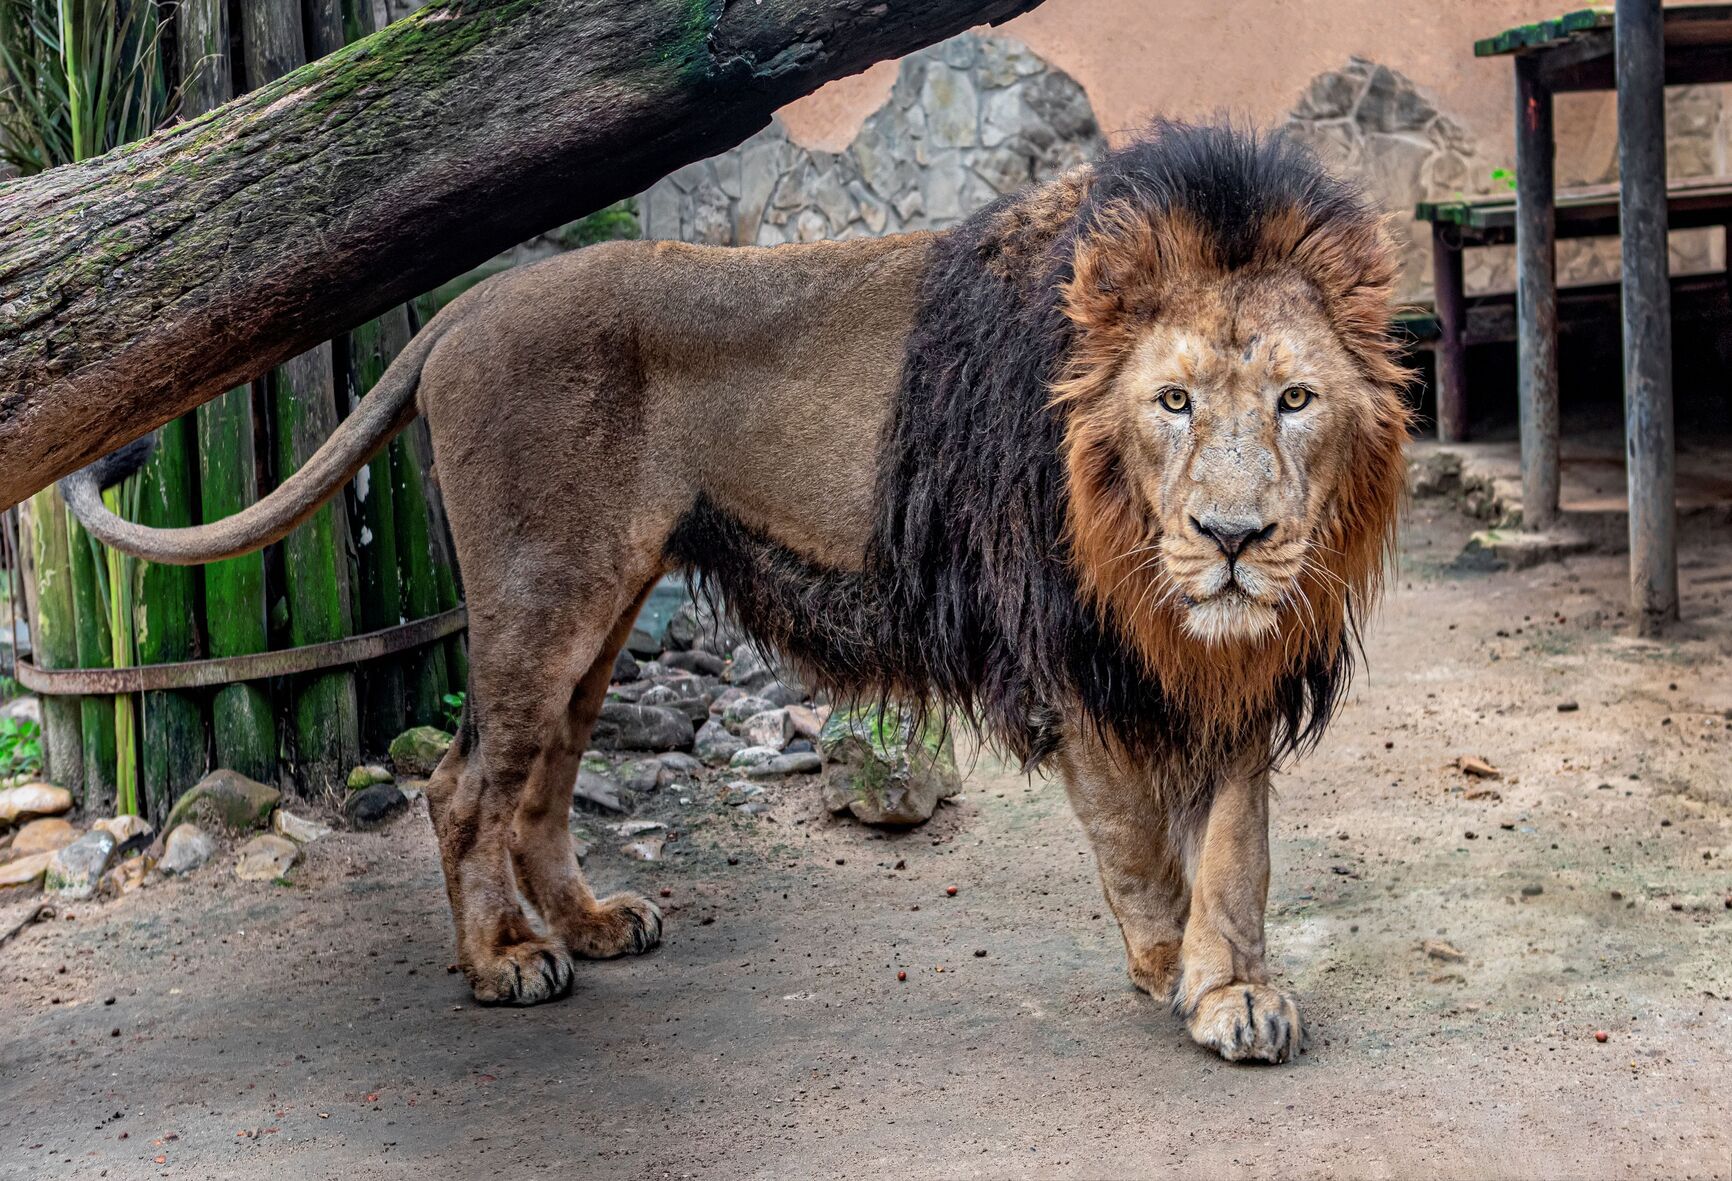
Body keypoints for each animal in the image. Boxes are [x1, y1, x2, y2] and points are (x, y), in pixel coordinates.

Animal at [62, 121, 1409, 1064]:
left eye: (1294, 398)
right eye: (1171, 400)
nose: (1234, 537)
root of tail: (461, 306)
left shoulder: (1234, 660)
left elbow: (1235, 845)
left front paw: (1234, 987)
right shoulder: (1060, 647)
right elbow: (1138, 839)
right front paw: (1170, 966)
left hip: (600, 608)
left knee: (538, 781)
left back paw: (591, 923)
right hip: (537, 600)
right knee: (458, 786)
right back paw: (504, 959)